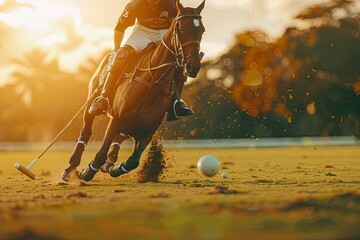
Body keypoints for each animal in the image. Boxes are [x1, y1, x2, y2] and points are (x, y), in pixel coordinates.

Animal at [61, 0, 205, 182]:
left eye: (202, 30)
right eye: (182, 28)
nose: (193, 67)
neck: (153, 82)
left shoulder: (147, 131)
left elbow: (132, 162)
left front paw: (111, 167)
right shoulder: (116, 120)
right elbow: (100, 155)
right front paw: (86, 172)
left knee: (119, 139)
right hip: (91, 103)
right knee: (86, 130)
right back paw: (70, 168)